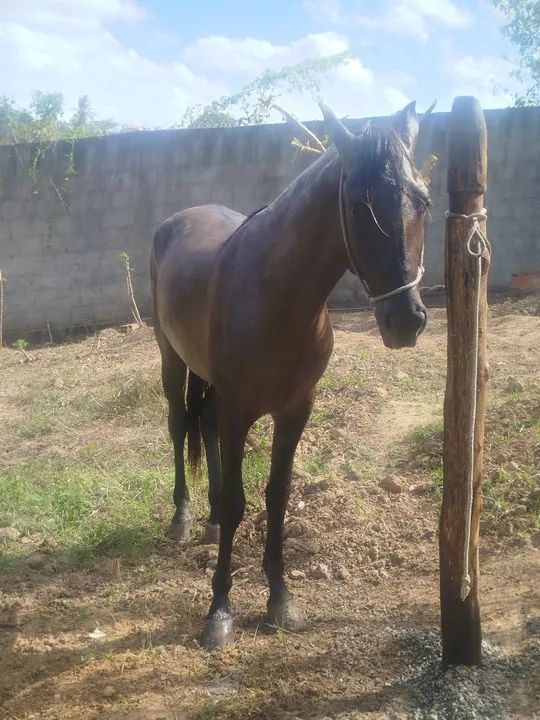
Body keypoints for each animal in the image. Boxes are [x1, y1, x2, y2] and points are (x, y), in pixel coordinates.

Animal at [151, 102, 431, 650]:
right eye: (357, 204)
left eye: (424, 201)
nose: (406, 321)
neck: (275, 294)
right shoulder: (240, 409)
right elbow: (239, 502)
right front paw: (219, 611)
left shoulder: (296, 409)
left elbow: (276, 498)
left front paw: (280, 599)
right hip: (172, 360)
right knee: (178, 426)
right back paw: (183, 517)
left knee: (205, 427)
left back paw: (208, 521)